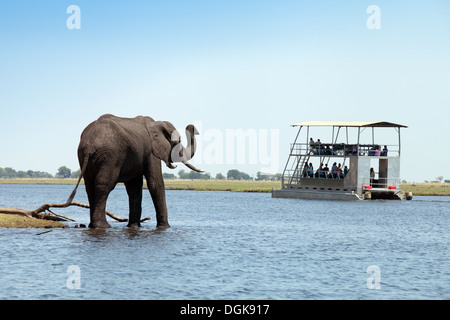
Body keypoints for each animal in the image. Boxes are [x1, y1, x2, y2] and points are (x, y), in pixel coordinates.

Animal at [67, 114, 202, 229]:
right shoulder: (151, 151)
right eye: (177, 141)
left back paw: (92, 225)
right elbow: (155, 183)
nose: (191, 126)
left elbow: (134, 187)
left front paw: (134, 227)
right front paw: (165, 227)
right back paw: (102, 226)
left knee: (89, 187)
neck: (157, 124)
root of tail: (89, 145)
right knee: (104, 185)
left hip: (84, 155)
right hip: (110, 156)